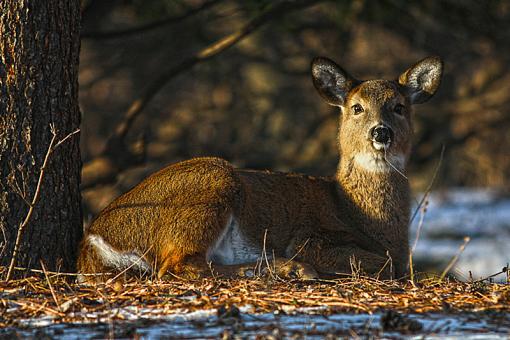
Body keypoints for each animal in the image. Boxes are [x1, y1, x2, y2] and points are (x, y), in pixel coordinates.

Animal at [76, 55, 442, 282]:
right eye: (356, 107)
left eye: (399, 107)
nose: (381, 132)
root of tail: (94, 238)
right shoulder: (312, 238)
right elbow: (385, 265)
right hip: (211, 182)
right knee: (179, 265)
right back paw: (287, 269)